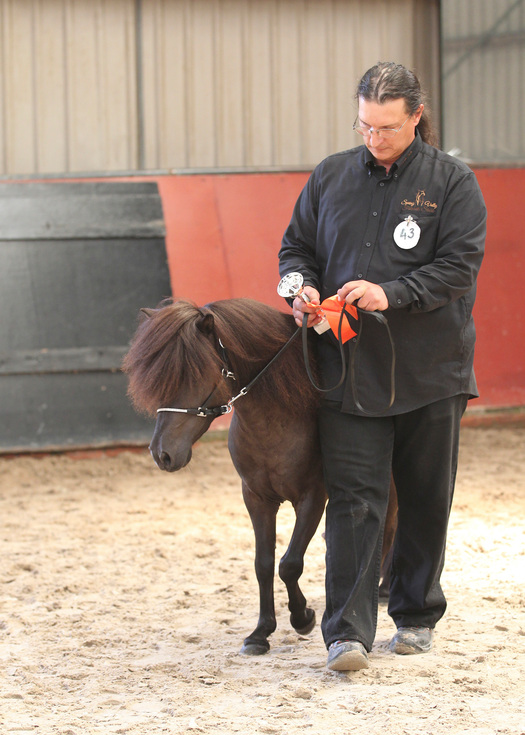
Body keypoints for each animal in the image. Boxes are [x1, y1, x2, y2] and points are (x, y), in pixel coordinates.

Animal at [122, 297, 397, 655]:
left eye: (196, 375)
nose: (162, 454)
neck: (277, 419)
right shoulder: (256, 498)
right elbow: (263, 564)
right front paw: (260, 632)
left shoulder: (312, 497)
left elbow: (290, 563)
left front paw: (302, 617)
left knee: (391, 527)